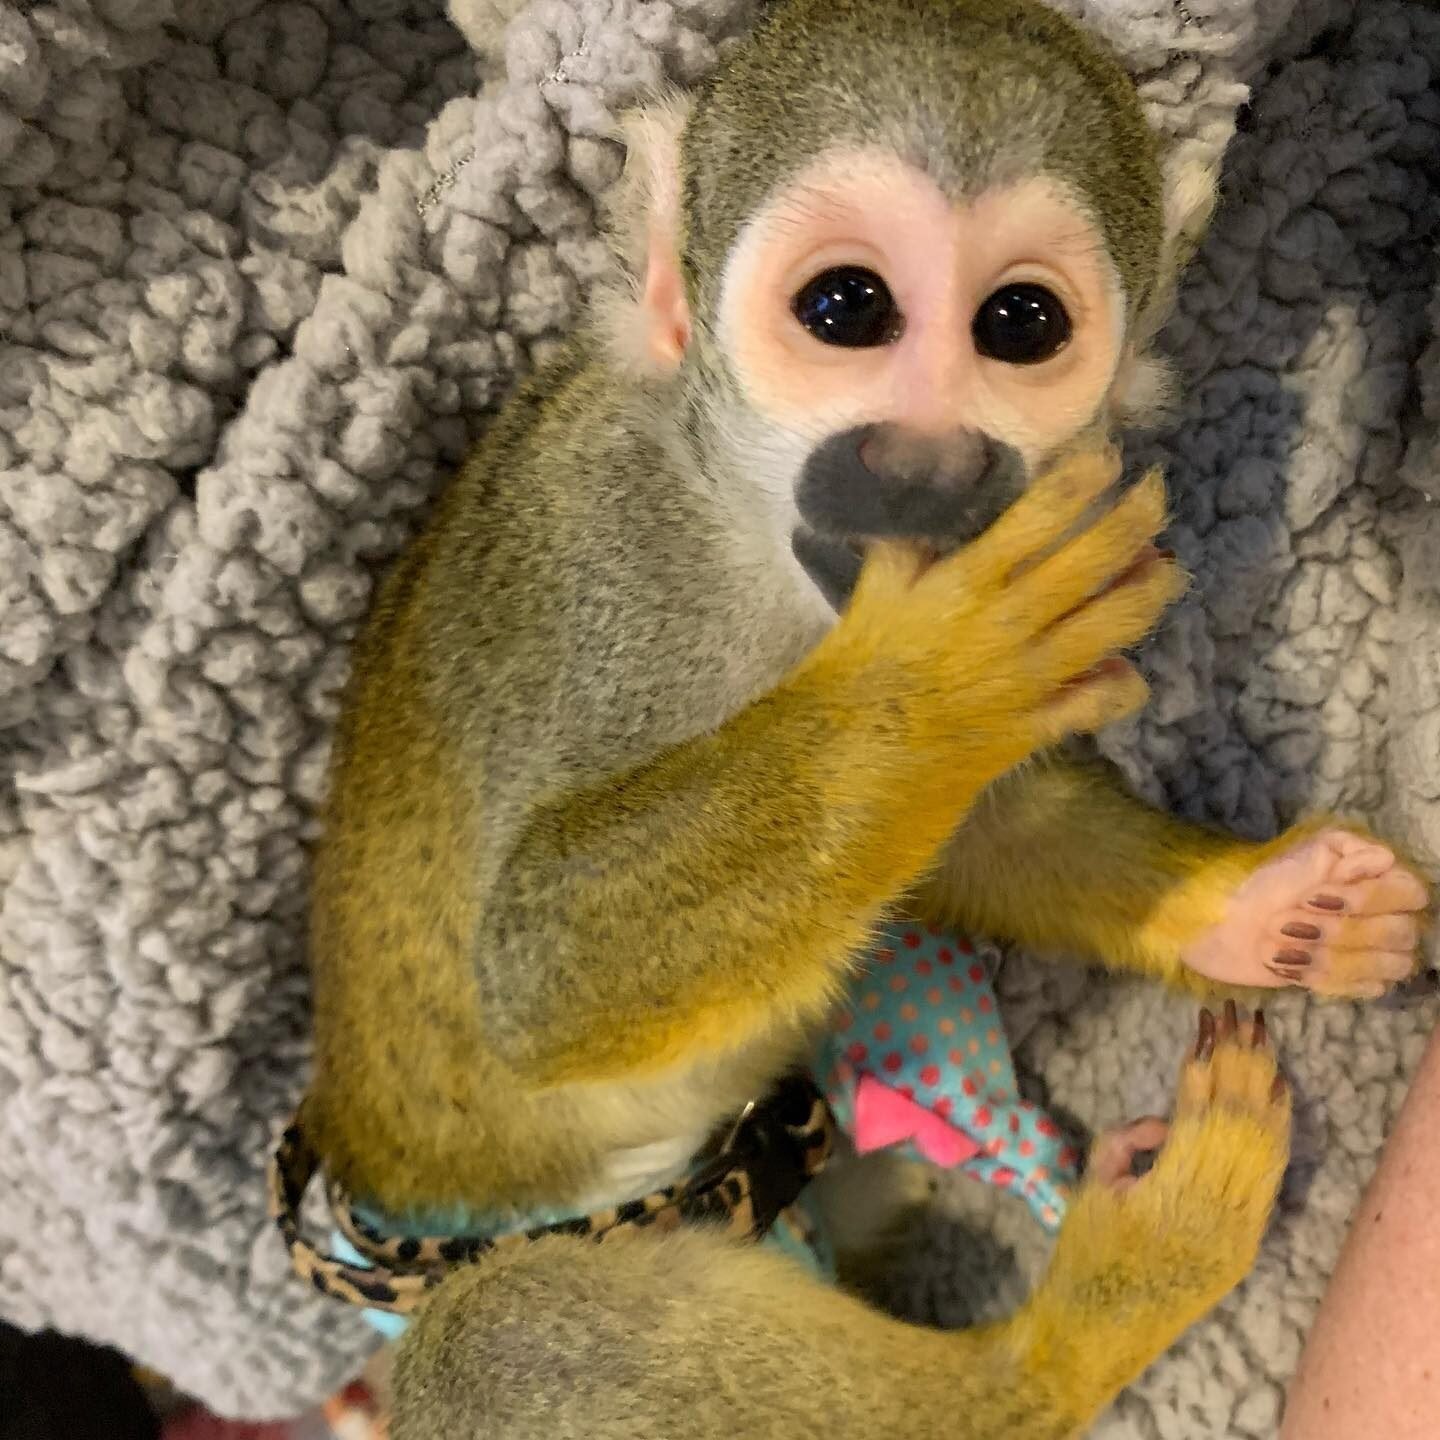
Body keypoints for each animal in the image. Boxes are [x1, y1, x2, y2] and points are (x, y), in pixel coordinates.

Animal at [286, 0, 1432, 1434]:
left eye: (1019, 323)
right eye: (847, 308)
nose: (927, 465)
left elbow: (969, 833)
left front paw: (1261, 911)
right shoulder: (594, 556)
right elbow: (533, 977)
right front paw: (928, 691)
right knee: (503, 1340)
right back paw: (1064, 1342)